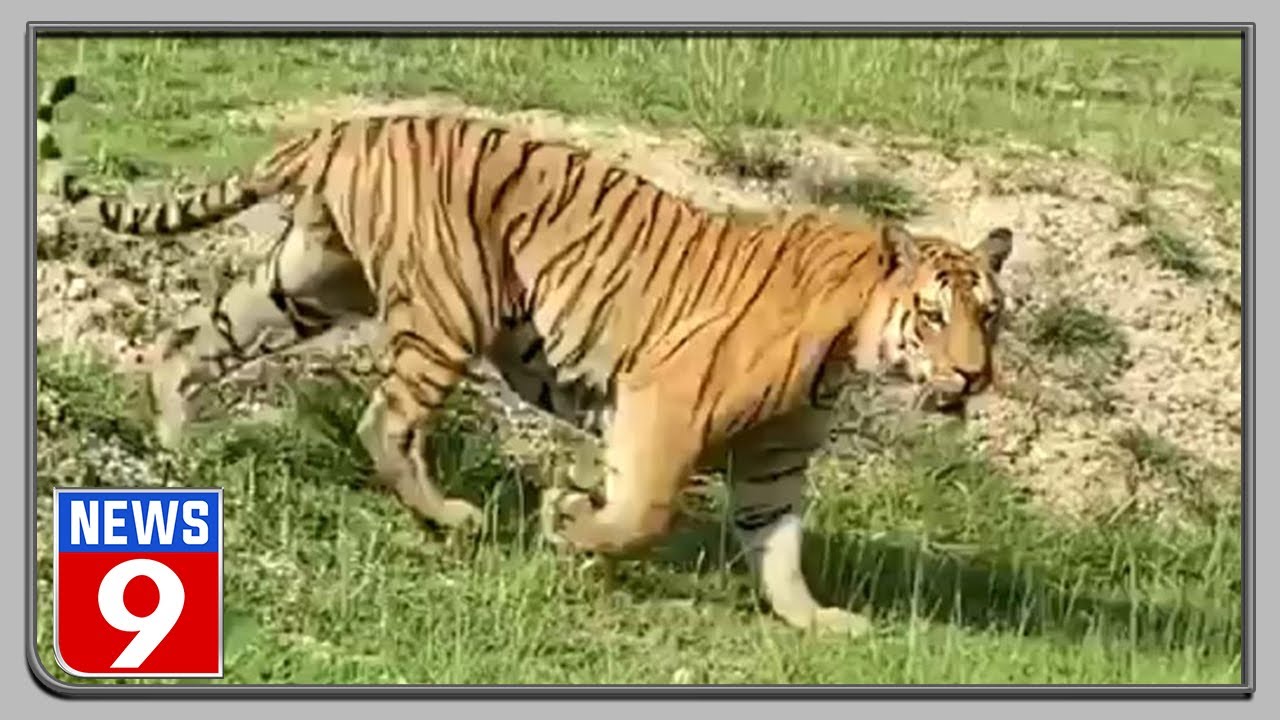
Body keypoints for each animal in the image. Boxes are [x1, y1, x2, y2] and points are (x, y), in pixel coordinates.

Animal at [75, 112, 1014, 635]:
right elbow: (643, 511)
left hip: (303, 285)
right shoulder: (664, 401)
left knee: (190, 342)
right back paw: (452, 516)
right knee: (387, 421)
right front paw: (567, 521)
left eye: (990, 315)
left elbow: (779, 546)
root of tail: (346, 127)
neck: (851, 339)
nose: (973, 377)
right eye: (935, 316)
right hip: (447, 307)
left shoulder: (775, 459)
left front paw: (816, 621)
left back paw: (176, 448)